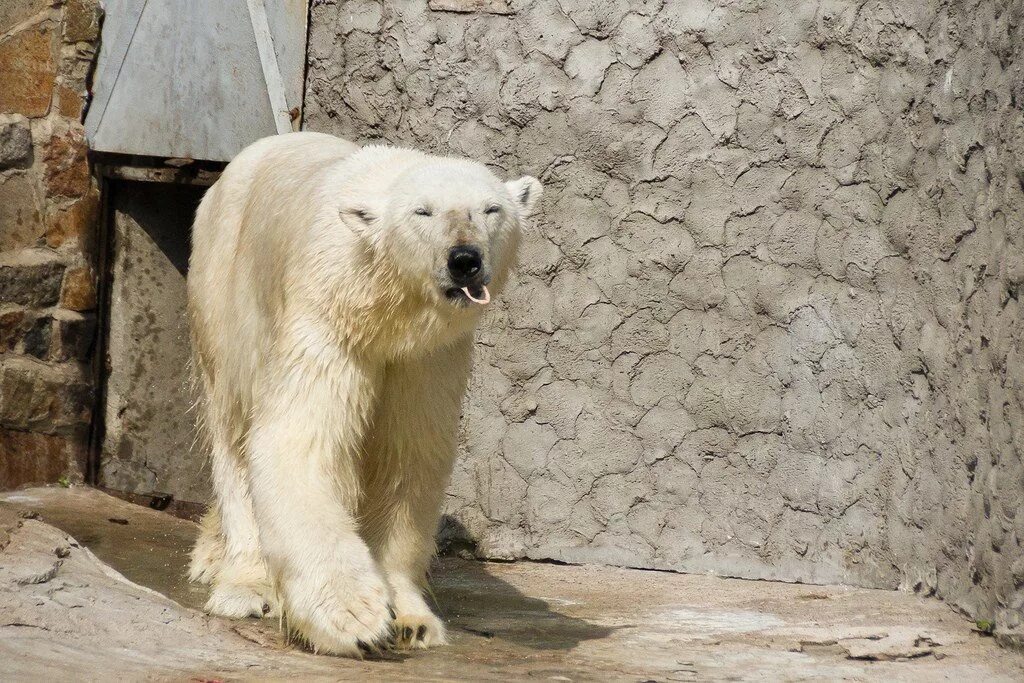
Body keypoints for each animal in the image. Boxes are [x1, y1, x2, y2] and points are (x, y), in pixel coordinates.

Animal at [185, 131, 540, 655]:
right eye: (423, 211)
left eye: (491, 209)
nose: (464, 260)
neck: (384, 308)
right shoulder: (327, 315)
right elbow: (301, 439)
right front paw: (353, 617)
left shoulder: (426, 358)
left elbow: (407, 459)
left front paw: (412, 620)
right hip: (226, 288)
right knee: (233, 434)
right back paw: (242, 583)